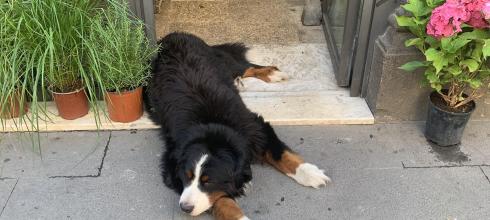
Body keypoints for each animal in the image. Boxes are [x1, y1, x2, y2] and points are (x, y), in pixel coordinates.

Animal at [145, 32, 330, 220]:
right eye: (186, 176)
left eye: (208, 181)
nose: (185, 207)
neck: (212, 125)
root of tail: (173, 35)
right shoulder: (172, 162)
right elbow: (222, 200)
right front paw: (238, 216)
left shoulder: (255, 127)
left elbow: (280, 153)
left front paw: (310, 173)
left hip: (221, 61)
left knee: (244, 66)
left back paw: (271, 73)